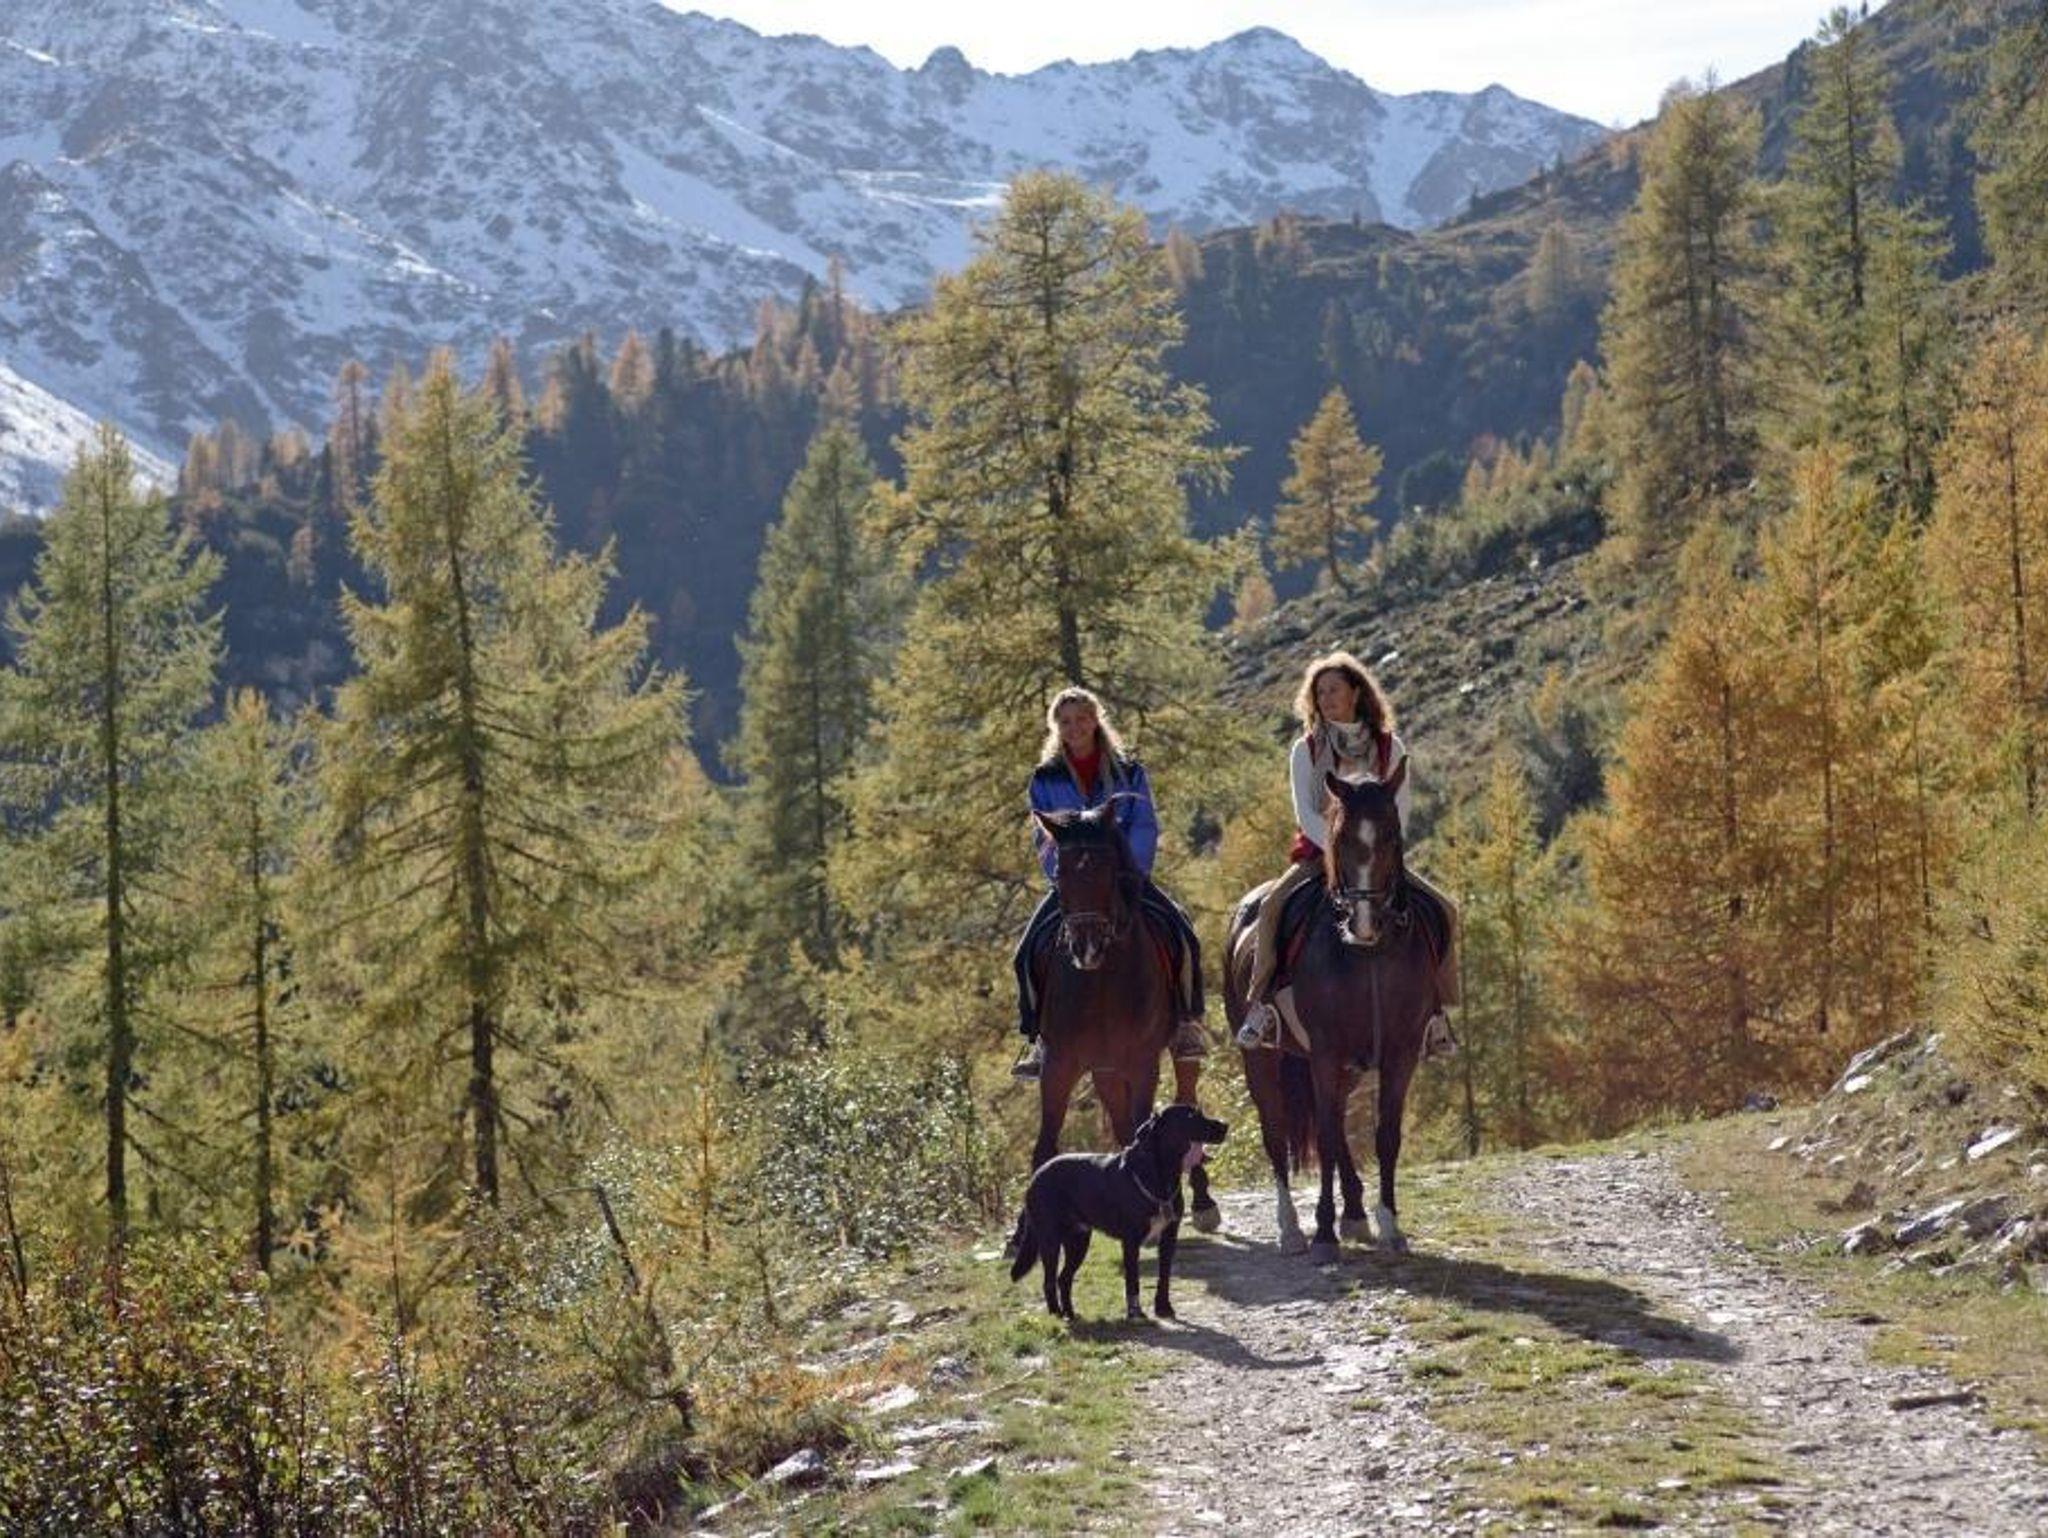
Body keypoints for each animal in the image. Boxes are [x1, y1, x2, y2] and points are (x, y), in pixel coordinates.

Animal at [1008, 1103, 1228, 1321]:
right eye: (1191, 1116)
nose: (1225, 1125)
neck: (1160, 1174)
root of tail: (1035, 1176)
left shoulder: (1169, 1237)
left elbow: (1164, 1277)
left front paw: (1163, 1308)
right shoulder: (1130, 1241)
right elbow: (1133, 1279)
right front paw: (1135, 1313)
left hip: (1078, 1240)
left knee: (1064, 1278)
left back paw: (1070, 1314)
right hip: (1050, 1240)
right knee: (1049, 1281)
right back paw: (1056, 1315)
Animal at [1024, 801, 1220, 1233]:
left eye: (1108, 868)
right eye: (1061, 873)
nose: (1086, 946)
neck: (1100, 983)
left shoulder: (1142, 1062)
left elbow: (1155, 1121)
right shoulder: (1059, 1064)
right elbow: (1046, 1142)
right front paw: (1018, 1233)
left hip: (1174, 1054)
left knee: (1186, 1098)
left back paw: (1202, 1202)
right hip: (1105, 1070)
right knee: (1120, 1121)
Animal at [1223, 763, 1440, 1262]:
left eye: (1393, 836)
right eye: (1339, 838)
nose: (1363, 923)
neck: (1369, 956)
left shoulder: (1399, 1053)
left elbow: (1384, 1135)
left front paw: (1390, 1226)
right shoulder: (1324, 1050)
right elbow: (1321, 1135)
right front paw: (1322, 1232)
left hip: (1347, 1068)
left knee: (1338, 1121)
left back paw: (1356, 1214)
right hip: (1262, 1059)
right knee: (1276, 1131)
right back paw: (1291, 1229)